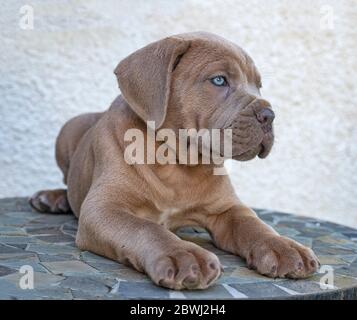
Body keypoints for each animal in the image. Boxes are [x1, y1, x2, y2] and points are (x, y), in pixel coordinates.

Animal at [30, 31, 318, 290]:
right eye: (219, 80)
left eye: (258, 85)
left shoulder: (227, 209)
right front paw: (183, 255)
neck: (177, 164)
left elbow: (254, 224)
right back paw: (53, 198)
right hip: (68, 130)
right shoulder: (104, 208)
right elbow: (145, 228)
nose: (269, 115)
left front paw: (284, 246)